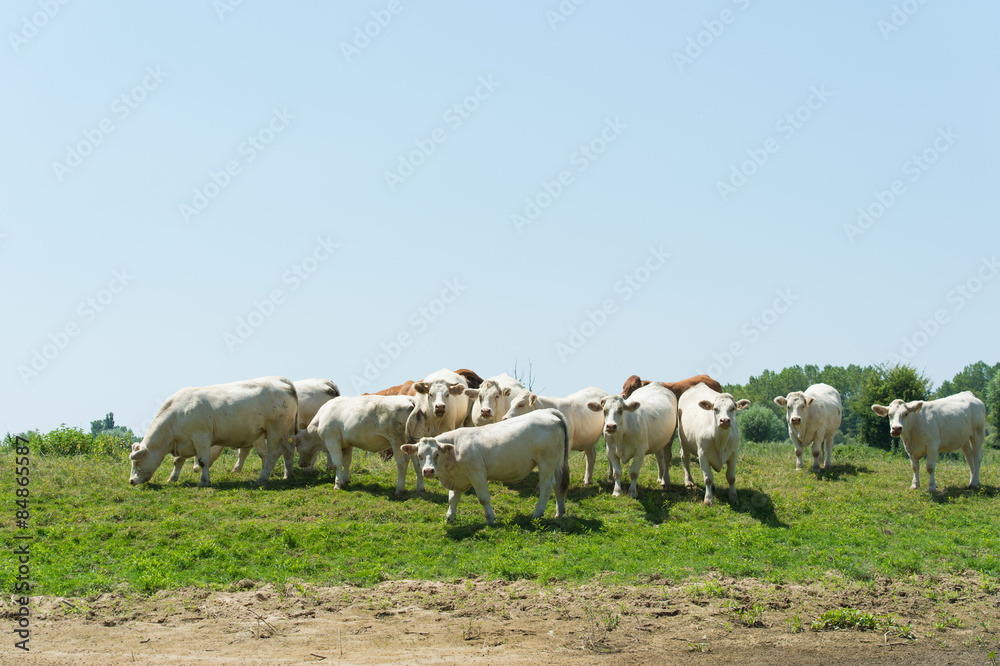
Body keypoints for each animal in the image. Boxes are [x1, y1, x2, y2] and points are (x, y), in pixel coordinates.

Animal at [129, 376, 297, 487]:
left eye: (137, 462)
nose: (131, 481)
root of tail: (281, 380)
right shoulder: (184, 441)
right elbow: (178, 461)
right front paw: (172, 478)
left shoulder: (201, 437)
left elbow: (203, 461)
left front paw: (204, 481)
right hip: (286, 431)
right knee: (288, 451)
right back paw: (287, 475)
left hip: (276, 430)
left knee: (273, 454)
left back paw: (263, 477)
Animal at [291, 394, 424, 496]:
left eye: (297, 446)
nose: (300, 464)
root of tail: (409, 399)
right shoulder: (347, 444)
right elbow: (346, 462)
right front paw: (345, 480)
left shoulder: (332, 440)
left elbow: (337, 463)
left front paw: (337, 484)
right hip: (414, 441)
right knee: (417, 463)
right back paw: (420, 488)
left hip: (397, 440)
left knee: (402, 463)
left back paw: (399, 490)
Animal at [400, 408, 569, 525]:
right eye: (419, 455)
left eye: (436, 454)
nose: (428, 471)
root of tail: (547, 412)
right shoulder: (458, 479)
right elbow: (452, 499)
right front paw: (449, 518)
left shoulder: (477, 474)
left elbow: (483, 498)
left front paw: (490, 519)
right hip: (556, 462)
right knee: (559, 485)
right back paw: (559, 513)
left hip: (545, 462)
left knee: (547, 486)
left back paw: (537, 514)